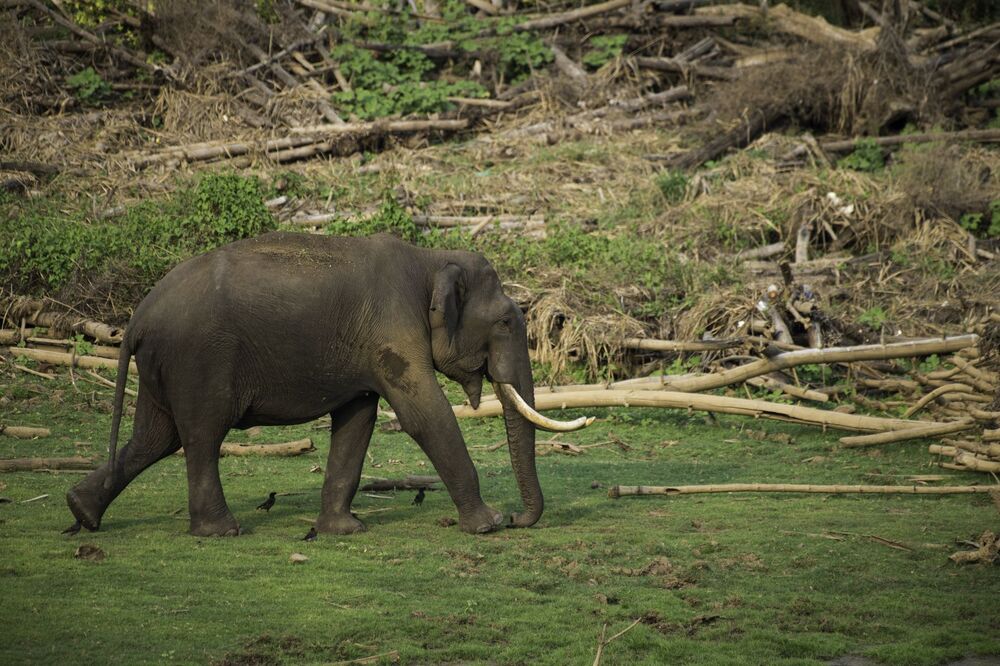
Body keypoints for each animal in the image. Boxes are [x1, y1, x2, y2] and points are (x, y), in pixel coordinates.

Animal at [65, 232, 589, 537]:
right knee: (200, 436)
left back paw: (82, 512)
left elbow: (358, 419)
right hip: (197, 360)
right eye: (505, 321)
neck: (430, 258)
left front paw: (345, 529)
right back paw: (222, 531)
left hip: (163, 367)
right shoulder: (392, 330)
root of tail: (137, 318)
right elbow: (423, 414)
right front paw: (485, 526)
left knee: (153, 437)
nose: (517, 518)